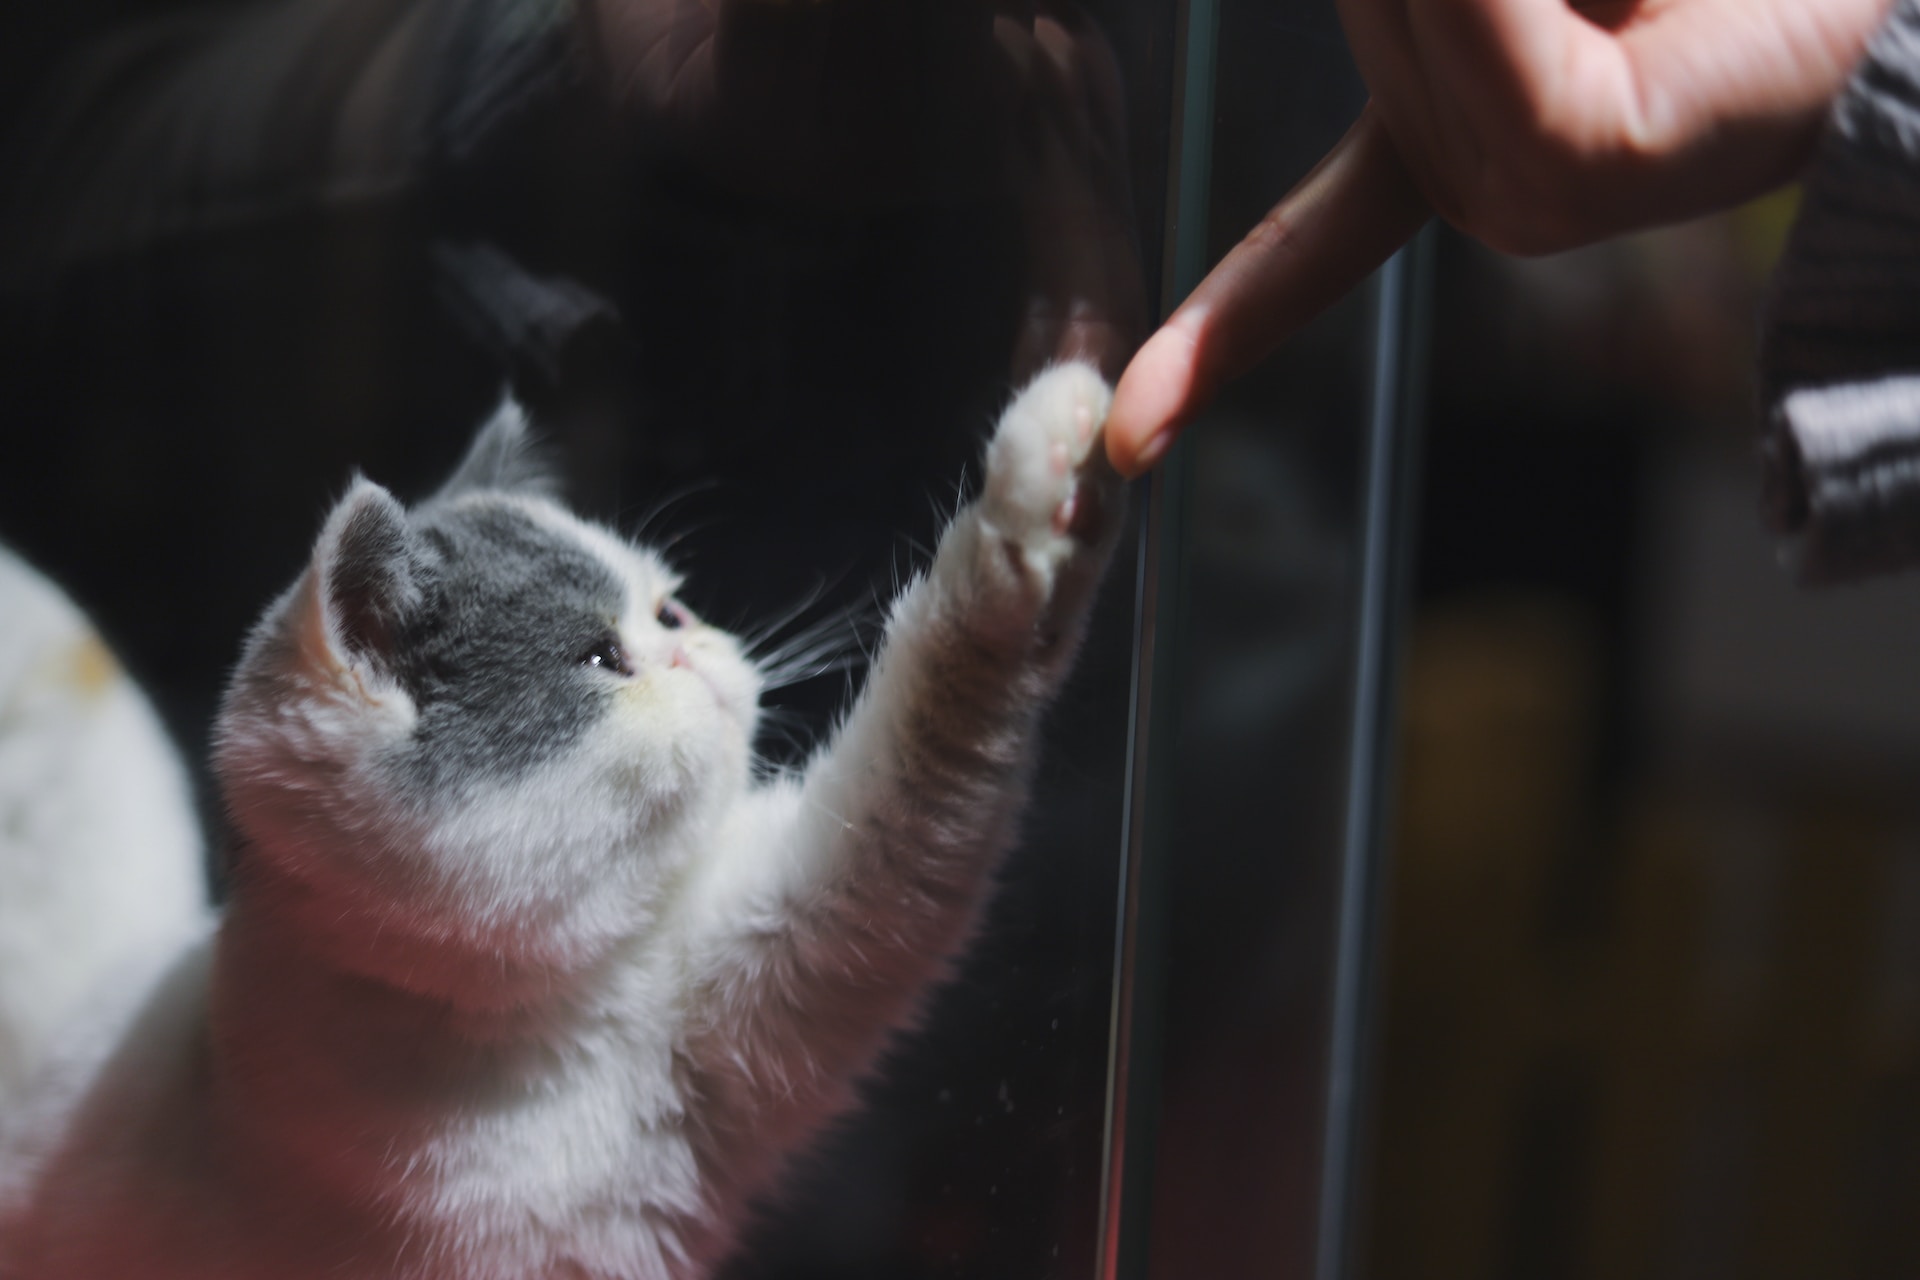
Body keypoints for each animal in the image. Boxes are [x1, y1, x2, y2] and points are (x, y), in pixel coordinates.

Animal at [0, 362, 1121, 1280]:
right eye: (597, 658)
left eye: (667, 608)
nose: (696, 646)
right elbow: (940, 709)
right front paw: (1033, 489)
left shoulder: (753, 975)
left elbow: (910, 815)